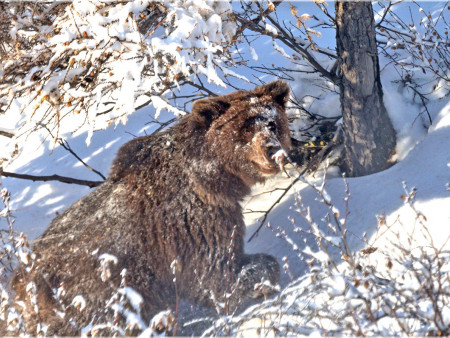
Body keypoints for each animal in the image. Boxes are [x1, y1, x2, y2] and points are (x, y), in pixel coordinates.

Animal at [10, 80, 294, 336]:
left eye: (272, 122)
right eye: (245, 127)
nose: (271, 149)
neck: (209, 178)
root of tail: (20, 284)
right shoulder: (187, 222)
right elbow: (215, 275)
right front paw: (262, 277)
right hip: (89, 296)